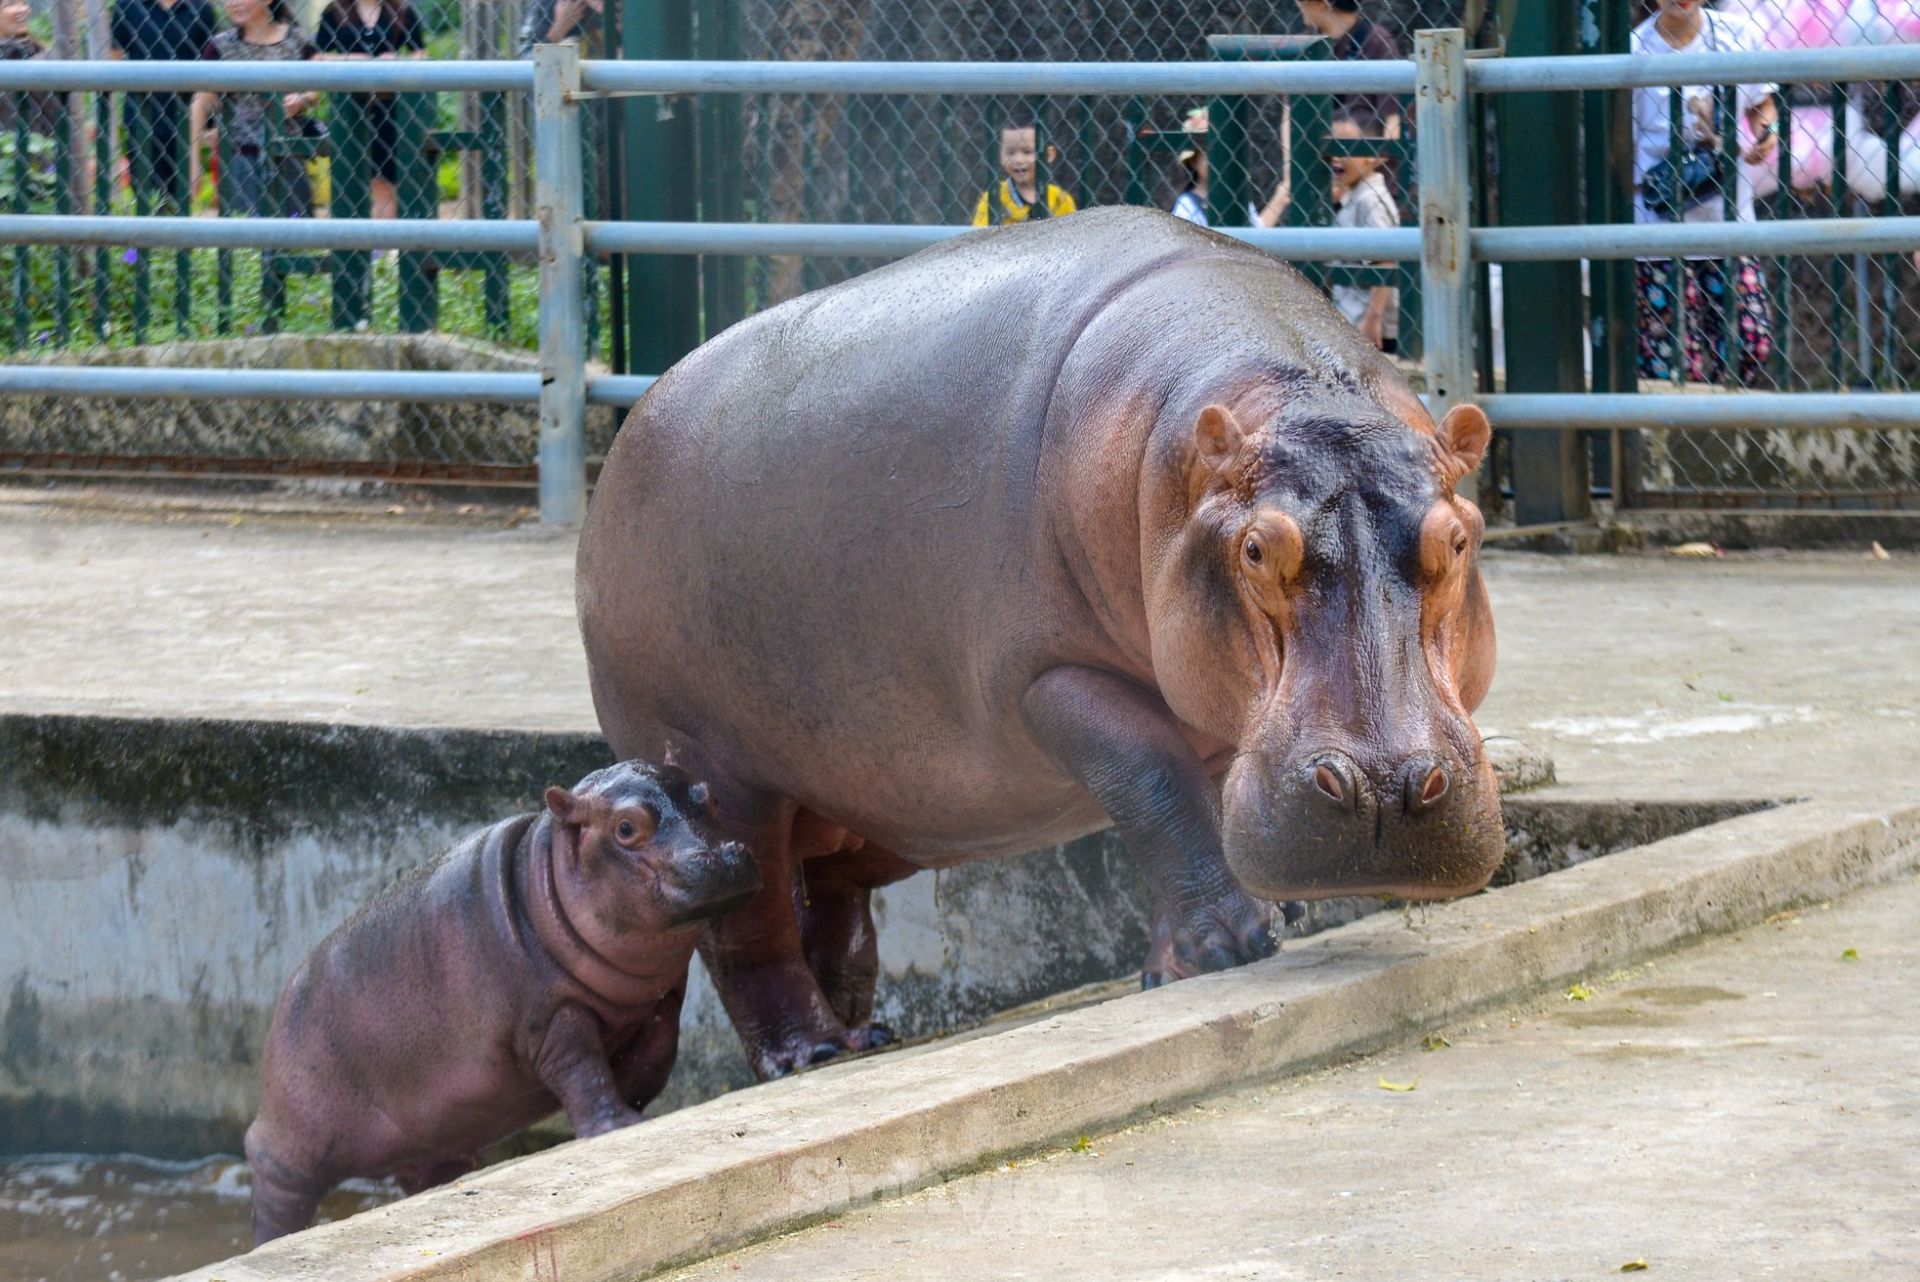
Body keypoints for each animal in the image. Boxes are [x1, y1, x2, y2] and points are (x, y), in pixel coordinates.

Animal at [236, 759, 752, 1243]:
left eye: (711, 797)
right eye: (626, 827)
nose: (723, 856)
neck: (547, 879)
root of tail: (281, 1001)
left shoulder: (662, 1001)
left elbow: (654, 1061)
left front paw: (638, 1107)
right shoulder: (550, 1017)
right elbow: (583, 1069)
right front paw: (619, 1124)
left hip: (431, 1144)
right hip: (290, 1146)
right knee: (277, 1192)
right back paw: (273, 1242)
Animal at [576, 205, 1505, 1074]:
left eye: (1460, 538)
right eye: (1255, 549)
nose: (1381, 787)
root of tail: (621, 446)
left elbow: (1190, 802)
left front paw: (1188, 960)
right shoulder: (1050, 677)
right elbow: (1152, 781)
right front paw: (1233, 944)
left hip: (852, 803)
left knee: (835, 920)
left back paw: (861, 1040)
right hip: (718, 781)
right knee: (749, 933)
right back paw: (807, 1056)